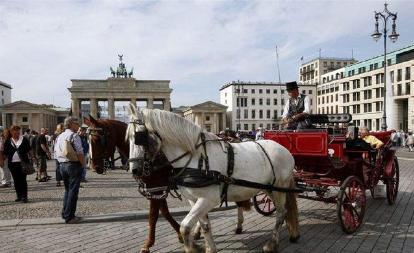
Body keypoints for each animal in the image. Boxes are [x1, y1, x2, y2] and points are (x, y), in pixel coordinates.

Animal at [83, 116, 182, 253]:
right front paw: (181, 233)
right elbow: (165, 212)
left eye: (97, 140)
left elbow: (153, 216)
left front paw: (148, 244)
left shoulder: (155, 188)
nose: (94, 167)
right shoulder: (157, 189)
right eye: (87, 141)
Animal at [124, 104, 300, 252]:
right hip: (269, 188)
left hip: (279, 188)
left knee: (281, 213)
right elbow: (205, 226)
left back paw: (272, 244)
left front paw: (193, 248)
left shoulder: (208, 199)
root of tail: (284, 149)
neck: (197, 158)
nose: (134, 170)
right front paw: (210, 248)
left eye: (139, 137)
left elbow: (185, 227)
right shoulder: (194, 200)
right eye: (129, 138)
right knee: (282, 210)